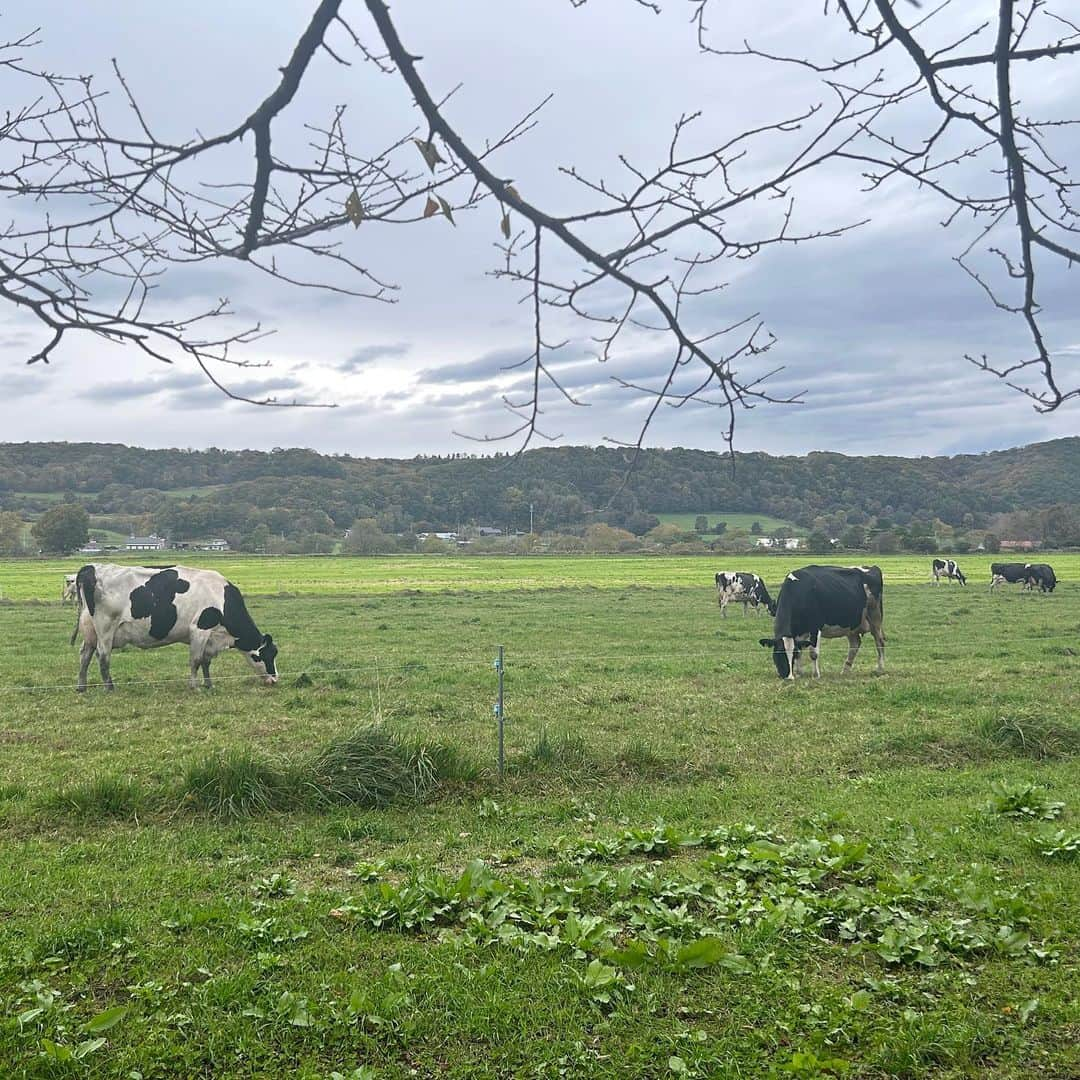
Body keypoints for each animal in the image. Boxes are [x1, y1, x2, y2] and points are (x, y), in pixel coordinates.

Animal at [74, 565, 280, 691]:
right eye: (268, 655)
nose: (275, 679)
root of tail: (91, 568)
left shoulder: (210, 638)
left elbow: (205, 662)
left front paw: (209, 684)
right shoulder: (200, 629)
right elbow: (196, 660)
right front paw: (195, 687)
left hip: (90, 630)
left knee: (85, 655)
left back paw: (81, 687)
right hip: (105, 628)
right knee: (103, 656)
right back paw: (109, 687)